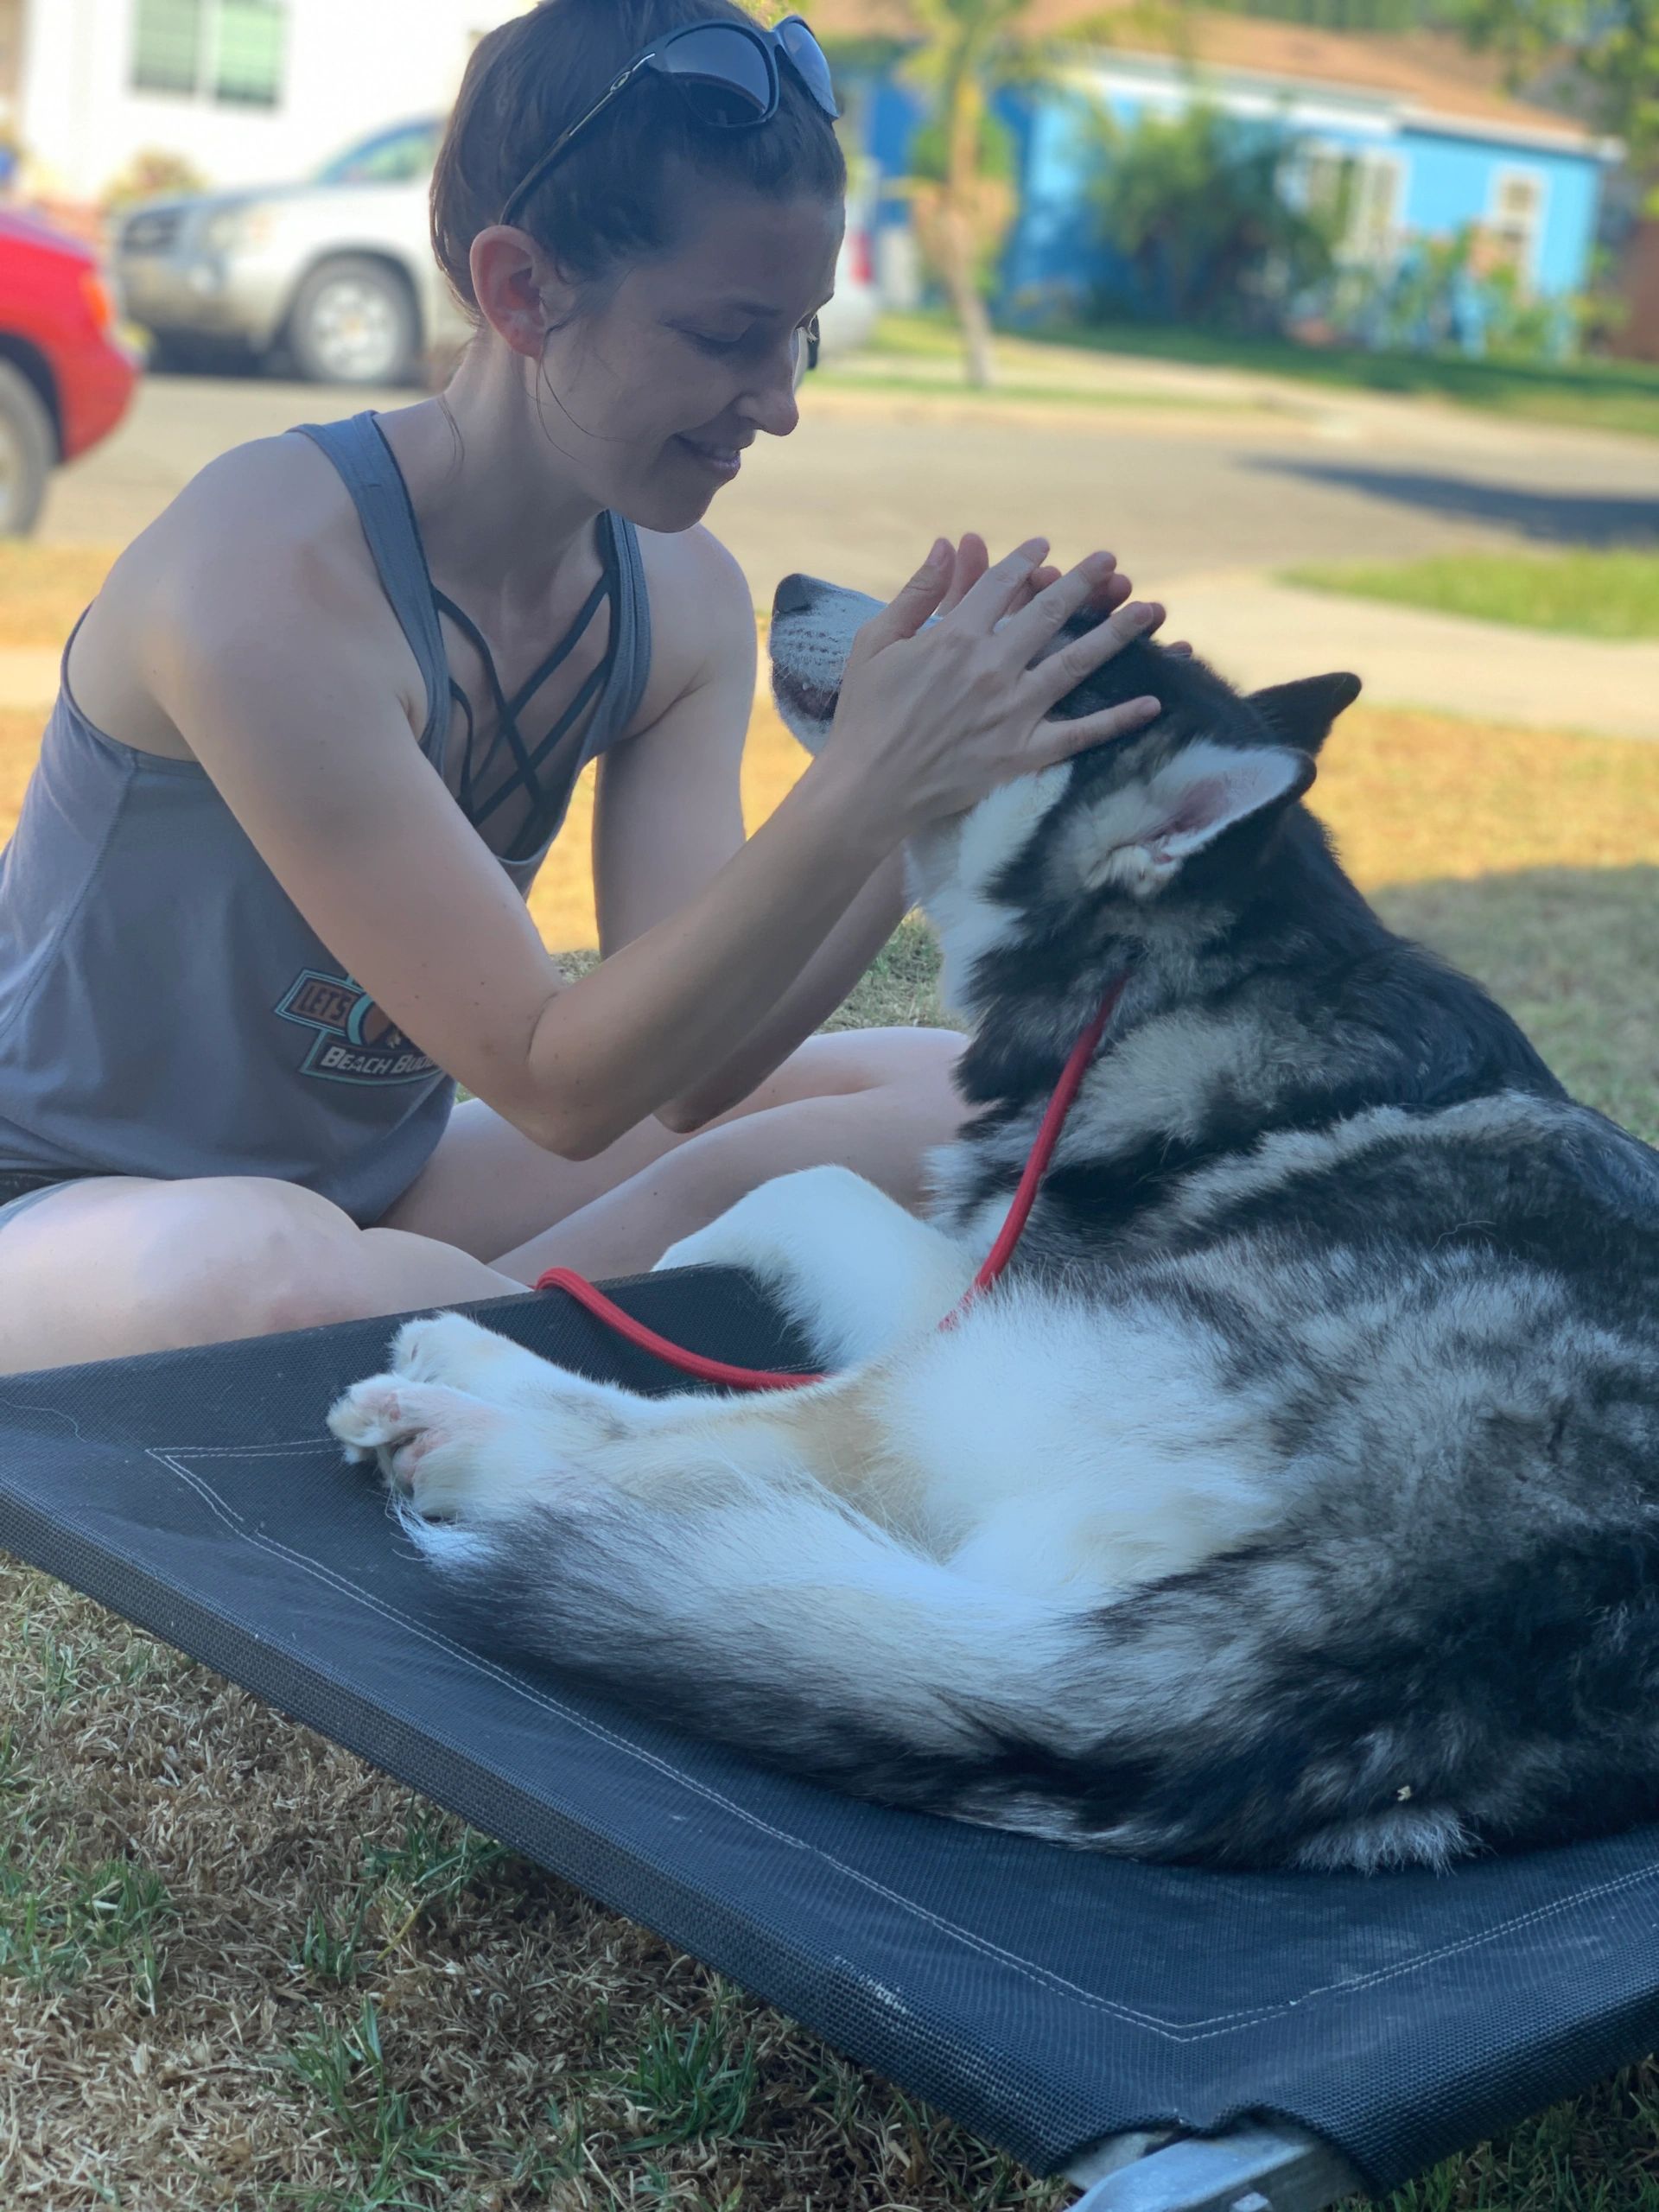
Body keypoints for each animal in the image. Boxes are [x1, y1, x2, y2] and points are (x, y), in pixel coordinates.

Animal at [327, 570, 1659, 1866]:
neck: (1165, 977)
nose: (789, 581)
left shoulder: (968, 1281)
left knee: (718, 1451)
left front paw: (655, 1255)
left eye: (1029, 641)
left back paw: (464, 1413)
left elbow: (793, 1187)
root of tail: (1460, 1629)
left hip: (984, 1367)